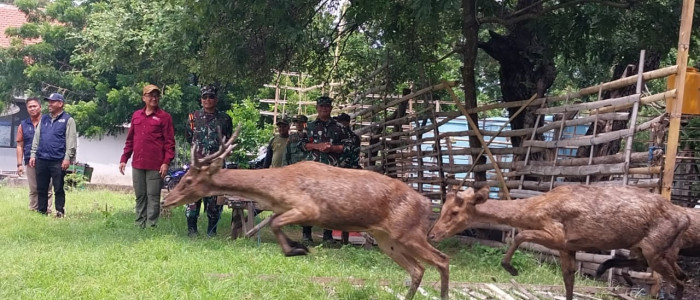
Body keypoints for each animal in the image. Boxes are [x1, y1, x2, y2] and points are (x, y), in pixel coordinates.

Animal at [160, 127, 448, 298]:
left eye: (188, 180)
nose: (166, 201)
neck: (276, 189)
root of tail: (427, 203)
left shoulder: (310, 208)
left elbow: (276, 223)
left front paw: (298, 248)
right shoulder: (288, 210)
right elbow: (274, 222)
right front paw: (296, 247)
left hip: (408, 230)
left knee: (441, 259)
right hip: (387, 239)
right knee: (417, 269)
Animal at [426, 185, 688, 300]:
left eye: (454, 212)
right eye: (443, 208)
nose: (432, 235)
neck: (532, 211)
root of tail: (684, 219)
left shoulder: (558, 234)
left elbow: (520, 235)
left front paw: (510, 267)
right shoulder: (568, 247)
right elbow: (568, 280)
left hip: (656, 249)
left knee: (679, 282)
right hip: (649, 248)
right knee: (678, 274)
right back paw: (607, 268)